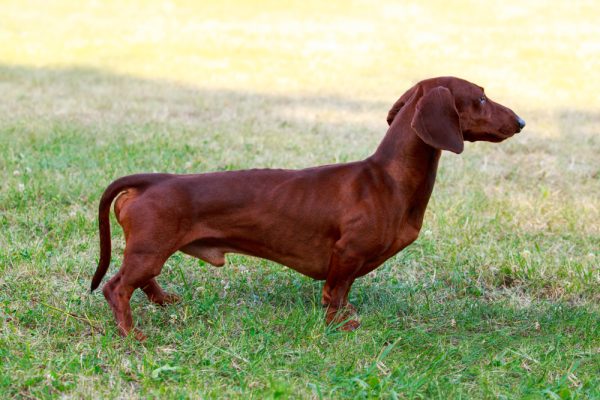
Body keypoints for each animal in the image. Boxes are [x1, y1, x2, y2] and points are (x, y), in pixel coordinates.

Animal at [90, 76, 524, 340]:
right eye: (481, 97)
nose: (521, 121)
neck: (386, 177)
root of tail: (154, 179)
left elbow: (344, 293)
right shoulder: (346, 253)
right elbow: (335, 293)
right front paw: (339, 325)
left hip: (151, 250)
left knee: (142, 281)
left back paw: (164, 302)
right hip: (150, 249)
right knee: (116, 288)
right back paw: (131, 333)